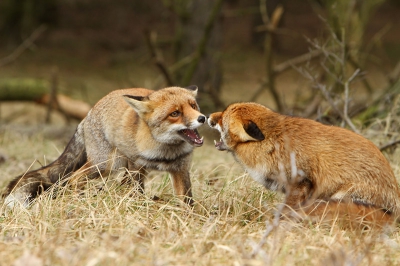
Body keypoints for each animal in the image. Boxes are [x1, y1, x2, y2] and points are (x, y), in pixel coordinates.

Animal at [3, 86, 206, 207]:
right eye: (175, 113)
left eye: (193, 106)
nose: (203, 118)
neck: (164, 152)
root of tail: (89, 112)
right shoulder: (137, 166)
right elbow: (137, 193)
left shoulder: (180, 169)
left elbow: (187, 201)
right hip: (106, 165)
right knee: (74, 178)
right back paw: (78, 201)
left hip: (118, 166)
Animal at [208, 102, 400, 227]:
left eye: (222, 117)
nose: (207, 117)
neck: (271, 143)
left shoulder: (300, 183)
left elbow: (286, 211)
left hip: (343, 196)